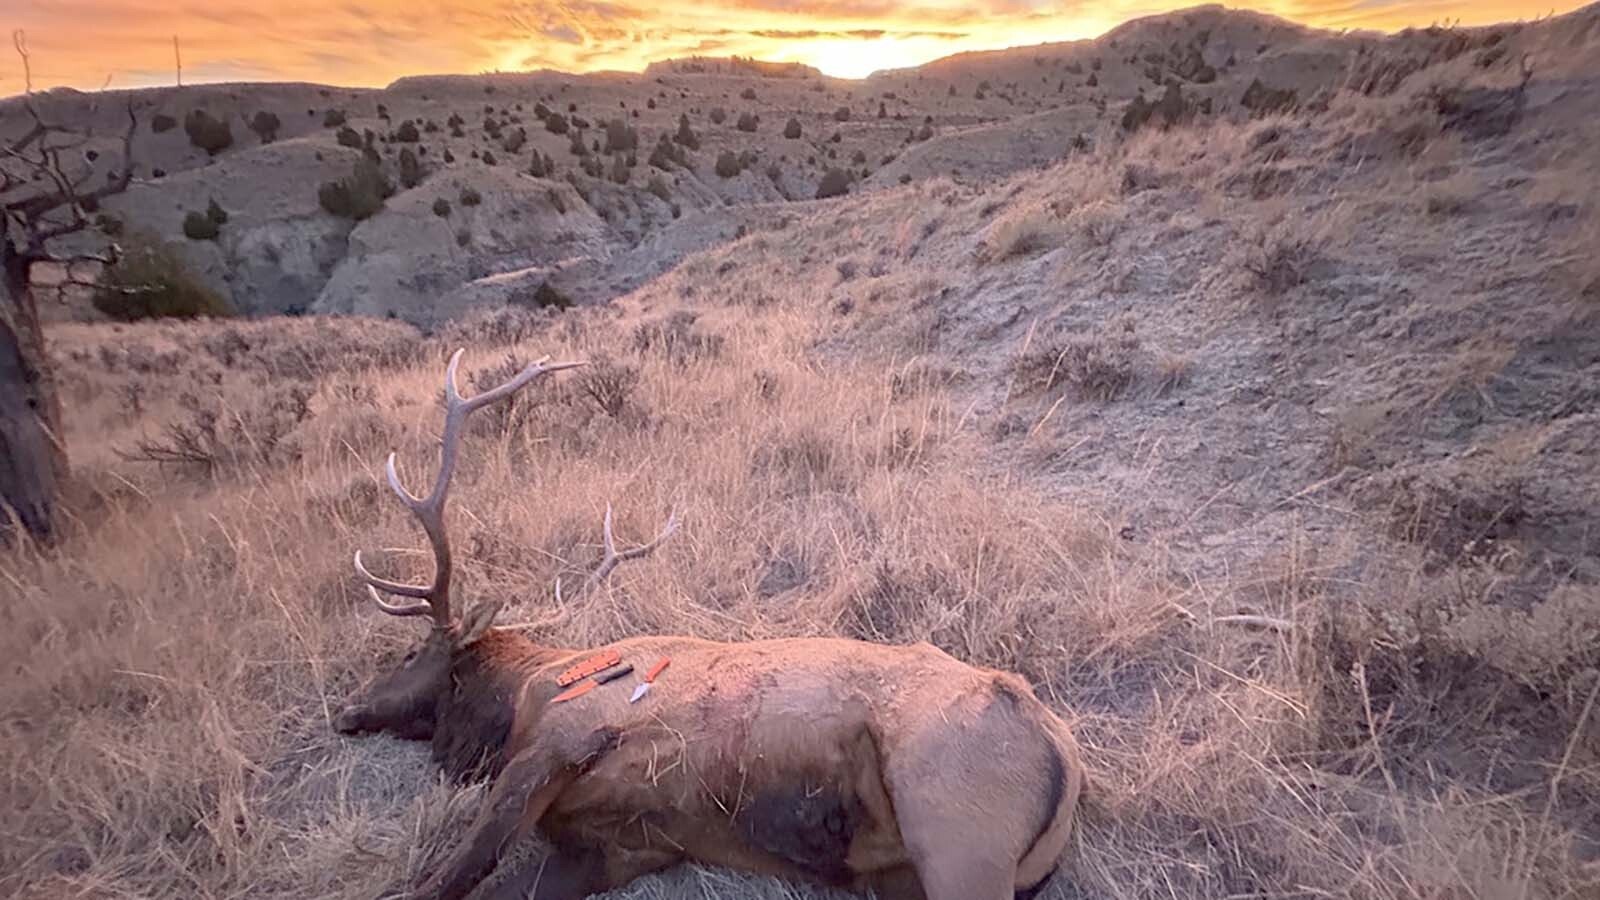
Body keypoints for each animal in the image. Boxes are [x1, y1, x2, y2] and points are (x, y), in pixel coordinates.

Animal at [333, 349, 1087, 900]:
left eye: (409, 654)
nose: (345, 710)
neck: (518, 698)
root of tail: (1066, 759)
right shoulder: (619, 849)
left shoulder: (557, 744)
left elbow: (442, 880)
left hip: (957, 834)